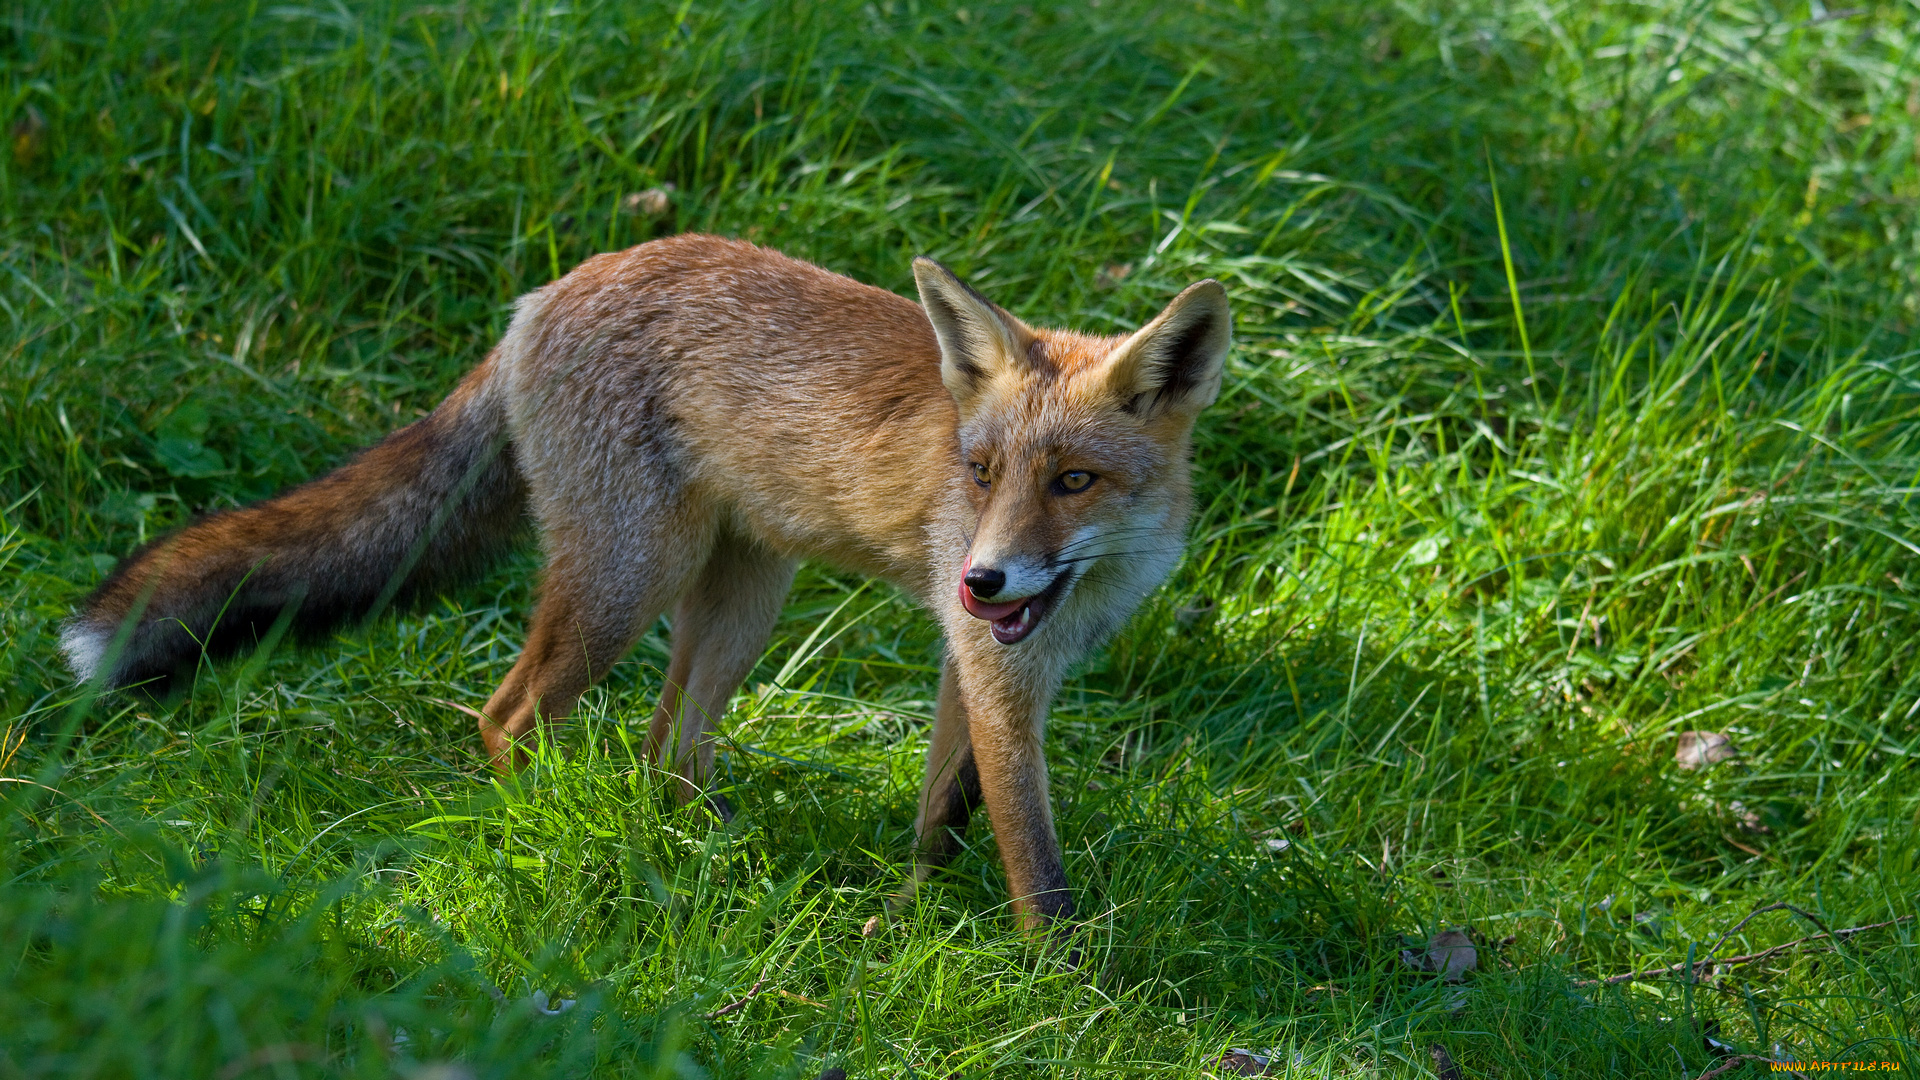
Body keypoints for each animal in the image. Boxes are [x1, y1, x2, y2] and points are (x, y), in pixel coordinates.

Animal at [67, 235, 1228, 926]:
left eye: (1073, 480)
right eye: (981, 473)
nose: (987, 579)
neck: (1092, 582)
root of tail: (552, 287)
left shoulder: (981, 656)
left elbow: (946, 807)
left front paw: (912, 912)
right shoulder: (995, 665)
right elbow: (1033, 855)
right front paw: (1058, 985)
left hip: (744, 595)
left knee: (668, 746)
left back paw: (709, 856)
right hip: (629, 581)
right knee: (510, 716)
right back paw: (545, 834)